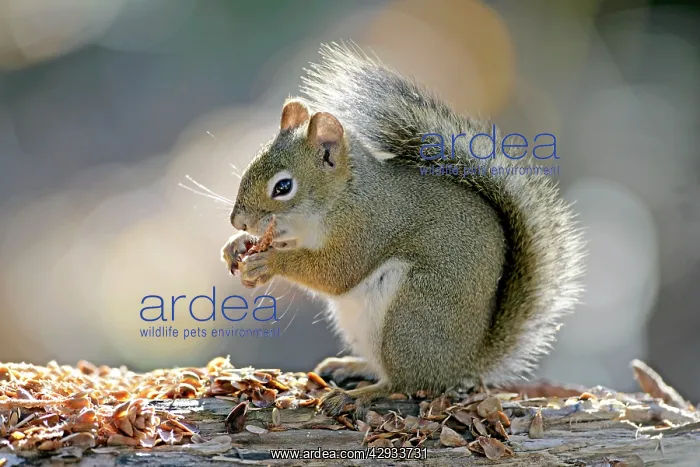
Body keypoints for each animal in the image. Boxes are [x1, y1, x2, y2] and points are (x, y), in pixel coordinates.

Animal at [221, 43, 585, 419]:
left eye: (283, 187)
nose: (238, 221)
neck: (343, 196)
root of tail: (462, 364)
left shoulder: (367, 227)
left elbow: (336, 273)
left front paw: (269, 263)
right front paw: (237, 246)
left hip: (410, 316)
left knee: (404, 382)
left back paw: (356, 395)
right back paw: (350, 367)